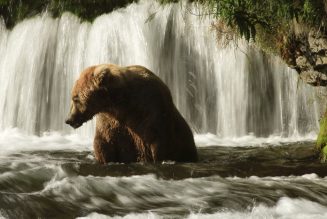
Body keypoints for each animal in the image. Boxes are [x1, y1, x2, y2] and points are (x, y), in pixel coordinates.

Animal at [64, 63, 197, 163]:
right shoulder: (111, 122)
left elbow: (159, 144)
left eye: (75, 98)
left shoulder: (152, 112)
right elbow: (104, 144)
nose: (68, 119)